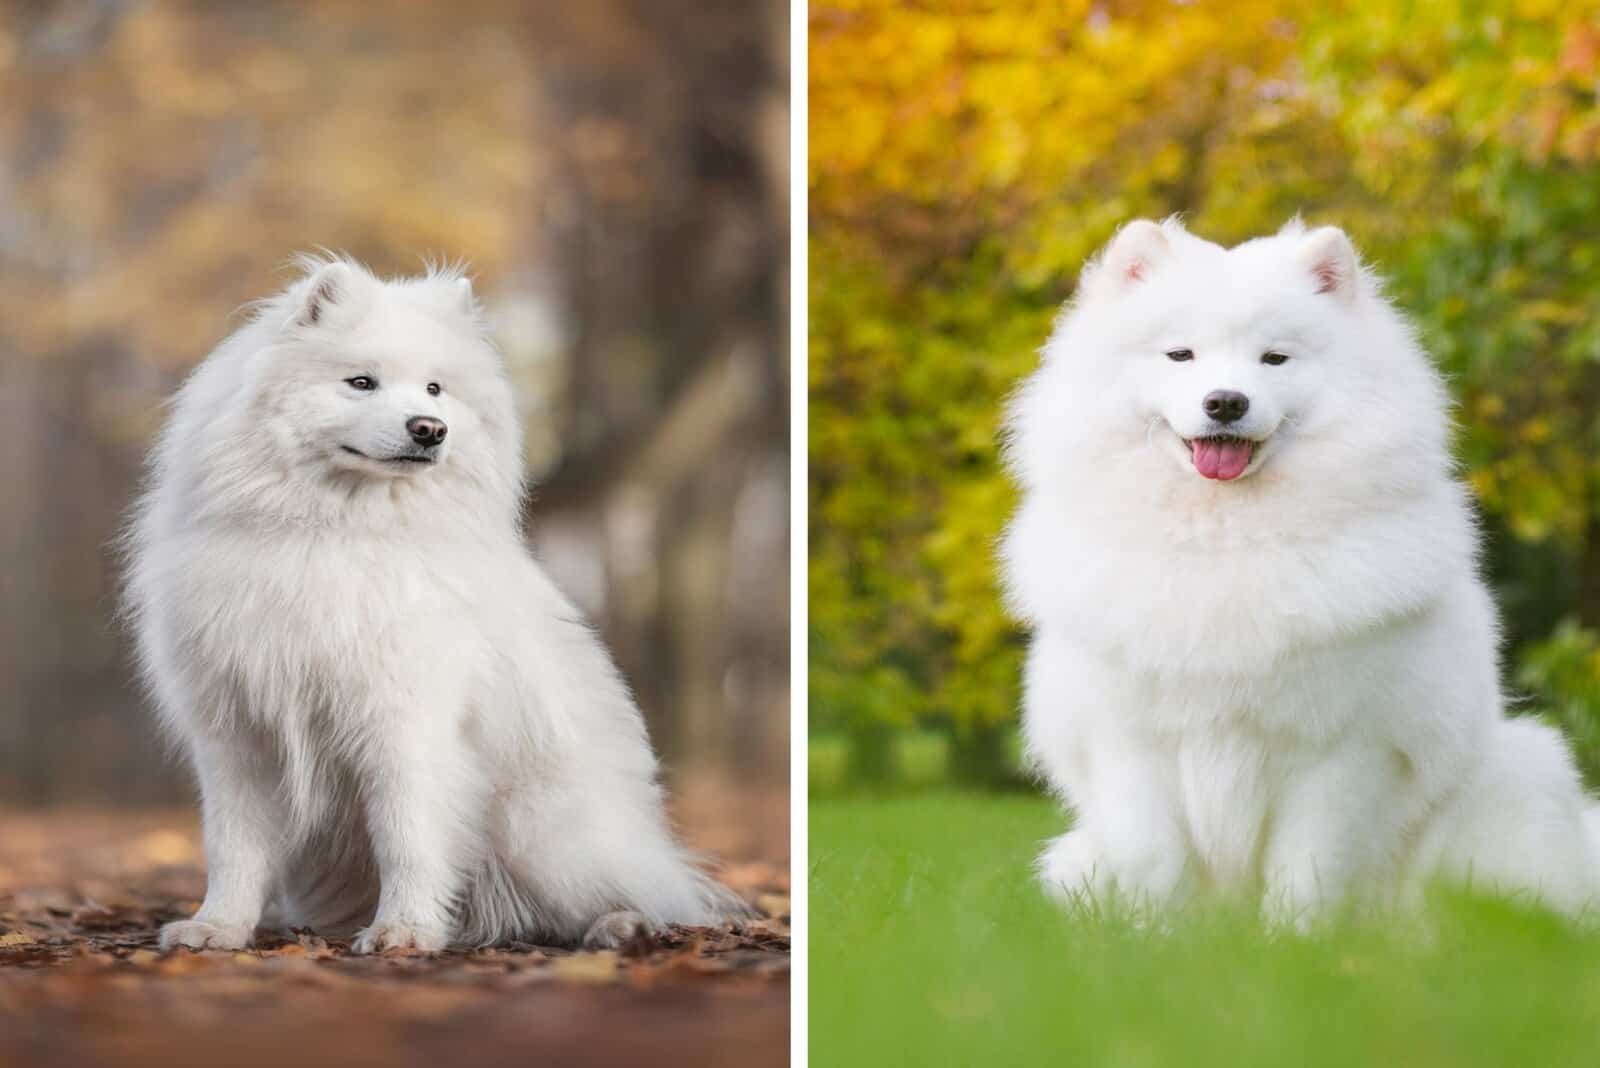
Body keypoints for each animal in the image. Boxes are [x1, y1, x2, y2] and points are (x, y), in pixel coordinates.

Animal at [123, 255, 736, 952]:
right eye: (361, 382)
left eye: (436, 390)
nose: (429, 429)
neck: (335, 533)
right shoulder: (237, 733)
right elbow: (233, 848)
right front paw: (217, 927)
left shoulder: (403, 722)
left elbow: (407, 835)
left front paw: (405, 930)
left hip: (541, 829)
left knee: (641, 896)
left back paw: (622, 924)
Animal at [998, 220, 1600, 920]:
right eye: (1181, 355)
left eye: (1274, 360)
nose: (1226, 402)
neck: (1226, 542)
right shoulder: (1130, 742)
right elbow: (1153, 861)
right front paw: (1154, 936)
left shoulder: (1338, 751)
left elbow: (1307, 866)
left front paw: (1296, 940)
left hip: (1517, 772)